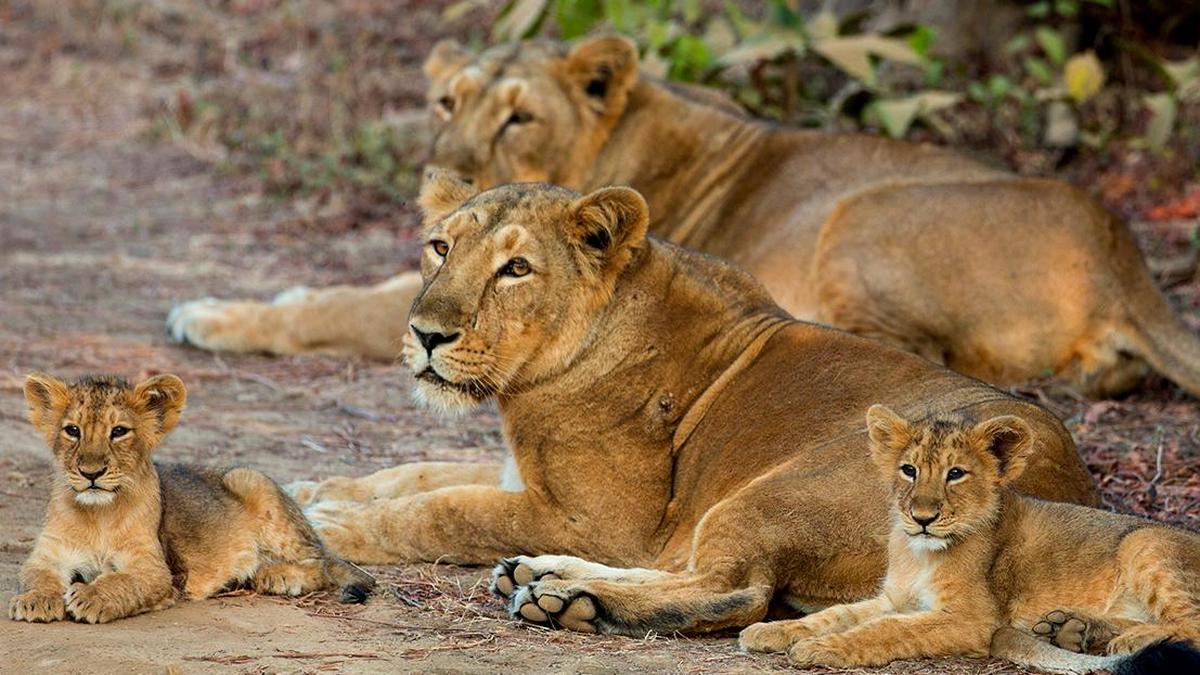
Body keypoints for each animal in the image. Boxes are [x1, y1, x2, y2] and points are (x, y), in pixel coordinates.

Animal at [8, 373, 373, 624]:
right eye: (73, 430)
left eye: (119, 431)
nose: (91, 473)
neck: (97, 515)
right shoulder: (47, 554)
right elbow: (34, 574)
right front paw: (35, 600)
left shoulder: (156, 570)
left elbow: (125, 582)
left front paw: (91, 597)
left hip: (250, 480)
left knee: (321, 563)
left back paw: (277, 576)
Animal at [166, 36, 1200, 399]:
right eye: (446, 101)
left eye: (520, 117)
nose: (450, 167)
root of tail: (1124, 252)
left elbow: (346, 302)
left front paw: (212, 314)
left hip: (859, 213)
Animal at [288, 174, 1097, 636]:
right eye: (439, 247)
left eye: (516, 268)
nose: (425, 333)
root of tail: (1068, 496)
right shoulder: (533, 481)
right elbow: (418, 471)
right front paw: (315, 487)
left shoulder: (602, 519)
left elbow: (444, 507)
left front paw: (329, 523)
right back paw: (543, 577)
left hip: (777, 491)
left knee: (734, 592)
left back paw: (571, 602)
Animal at [739, 406, 1200, 673]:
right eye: (909, 470)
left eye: (955, 474)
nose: (922, 517)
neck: (919, 553)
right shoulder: (893, 598)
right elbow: (836, 614)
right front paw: (772, 632)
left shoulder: (972, 620)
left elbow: (885, 630)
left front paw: (821, 648)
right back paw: (1071, 629)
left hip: (1146, 544)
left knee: (1189, 624)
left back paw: (1124, 639)